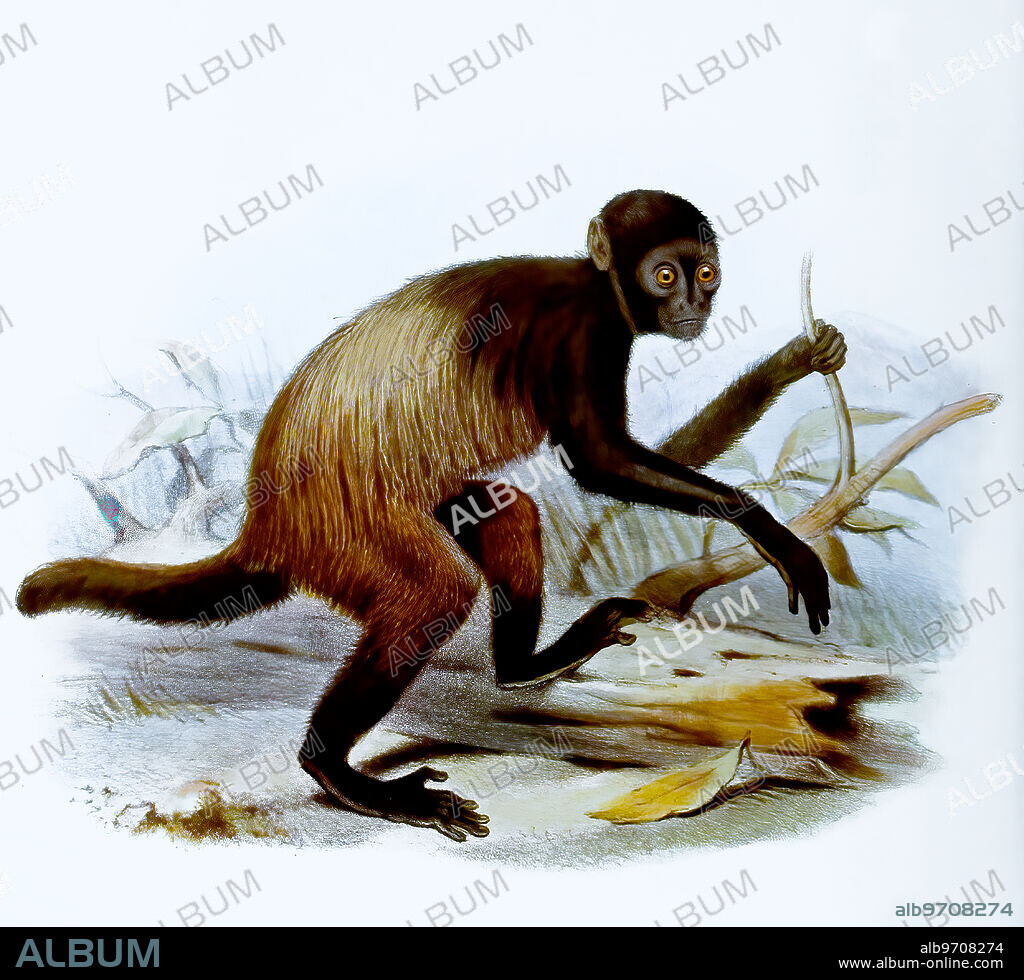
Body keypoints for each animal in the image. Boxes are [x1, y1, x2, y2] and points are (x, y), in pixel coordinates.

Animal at [17, 189, 846, 842]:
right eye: (666, 273)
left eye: (705, 272)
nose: (693, 305)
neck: (595, 284)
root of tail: (267, 519)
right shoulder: (585, 333)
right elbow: (598, 461)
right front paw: (769, 529)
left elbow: (624, 462)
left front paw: (796, 361)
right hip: (347, 531)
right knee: (434, 594)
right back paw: (334, 768)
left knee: (506, 513)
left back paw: (523, 667)